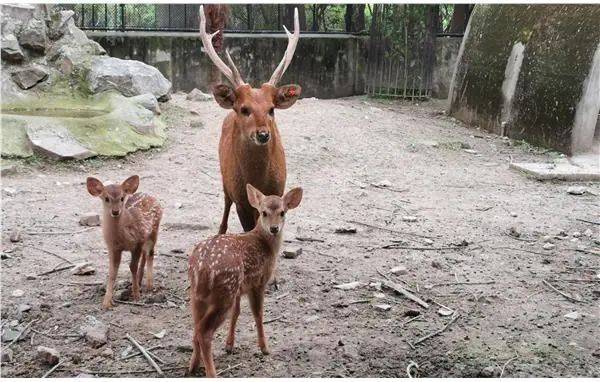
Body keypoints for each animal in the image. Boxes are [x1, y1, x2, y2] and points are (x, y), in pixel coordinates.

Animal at [198, 4, 300, 234]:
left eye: (272, 109)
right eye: (244, 109)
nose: (263, 134)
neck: (258, 180)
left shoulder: (279, 190)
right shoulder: (241, 200)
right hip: (225, 177)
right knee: (226, 202)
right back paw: (221, 231)